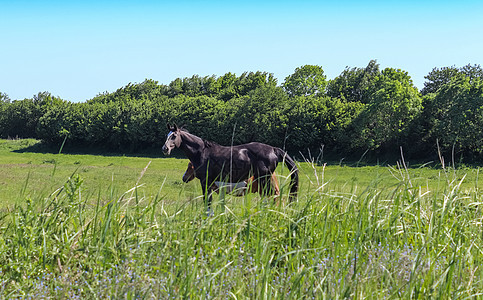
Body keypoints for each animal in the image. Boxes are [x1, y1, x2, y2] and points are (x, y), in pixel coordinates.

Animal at [163, 123, 298, 210]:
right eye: (167, 135)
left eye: (174, 136)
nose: (165, 149)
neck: (202, 152)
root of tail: (273, 149)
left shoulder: (205, 182)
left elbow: (208, 202)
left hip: (265, 180)